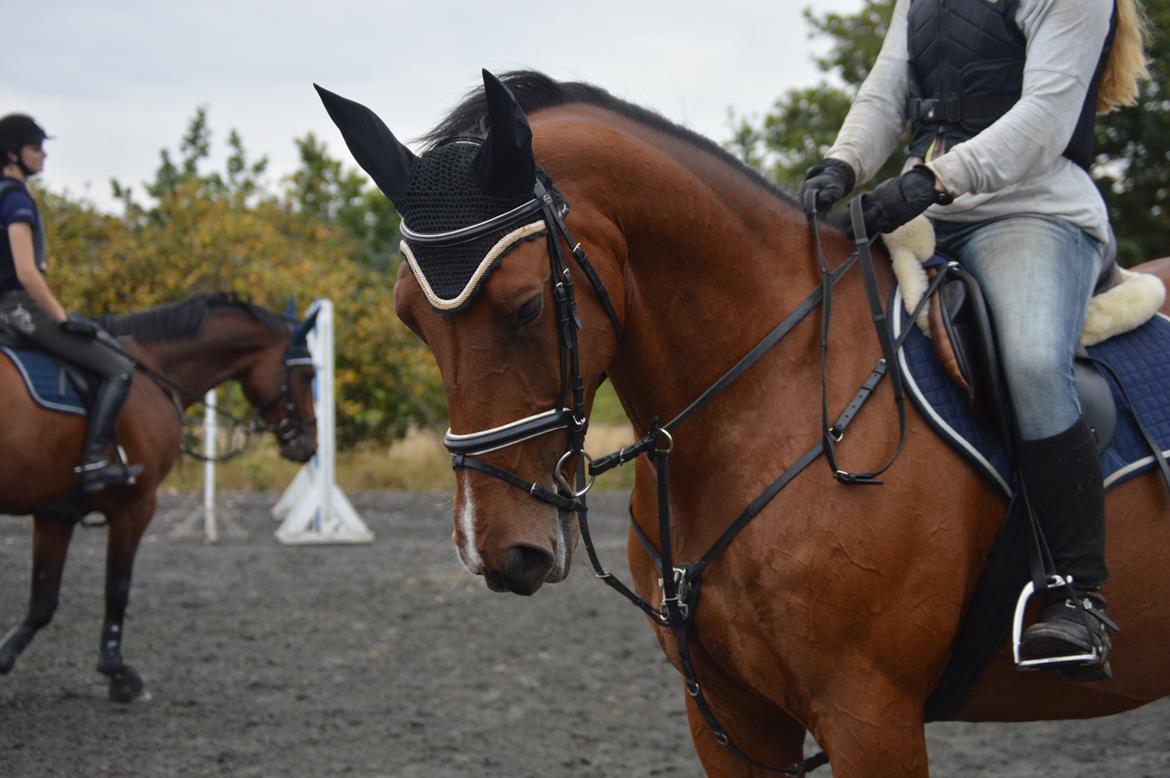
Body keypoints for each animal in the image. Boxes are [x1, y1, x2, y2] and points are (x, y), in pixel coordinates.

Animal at [0, 292, 318, 701]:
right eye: (308, 376)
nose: (309, 445)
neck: (153, 370)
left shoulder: (56, 512)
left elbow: (43, 599)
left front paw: (4, 658)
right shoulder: (136, 506)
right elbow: (117, 588)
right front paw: (119, 674)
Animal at [318, 71, 1170, 772]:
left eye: (526, 306)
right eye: (410, 319)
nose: (493, 548)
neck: (770, 399)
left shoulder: (870, 714)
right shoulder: (727, 715)